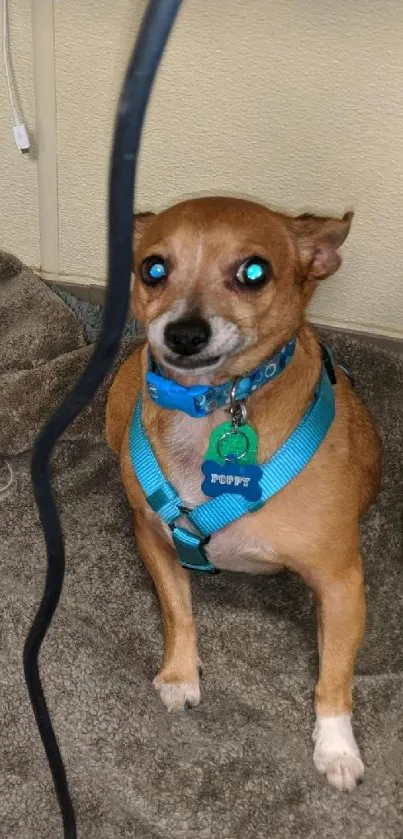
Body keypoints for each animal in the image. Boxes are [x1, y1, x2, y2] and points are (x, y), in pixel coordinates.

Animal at [105, 199, 382, 796]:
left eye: (253, 272)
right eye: (153, 269)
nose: (184, 333)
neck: (215, 407)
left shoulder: (341, 584)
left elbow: (334, 675)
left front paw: (336, 746)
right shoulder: (153, 540)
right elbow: (178, 613)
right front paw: (179, 675)